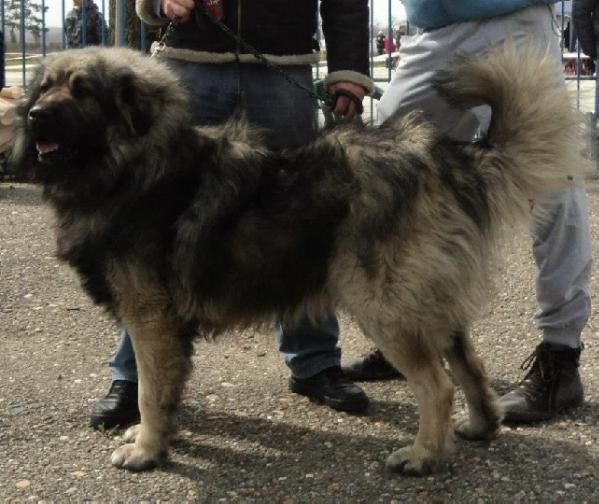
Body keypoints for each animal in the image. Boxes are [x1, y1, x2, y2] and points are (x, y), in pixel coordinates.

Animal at [14, 45, 584, 474]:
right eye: (45, 88)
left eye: (82, 90)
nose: (35, 115)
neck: (131, 166)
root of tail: (445, 159)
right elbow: (165, 387)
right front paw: (154, 436)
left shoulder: (149, 316)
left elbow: (153, 390)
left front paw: (147, 450)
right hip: (425, 299)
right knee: (469, 363)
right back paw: (481, 425)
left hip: (384, 306)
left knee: (437, 385)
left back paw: (423, 456)